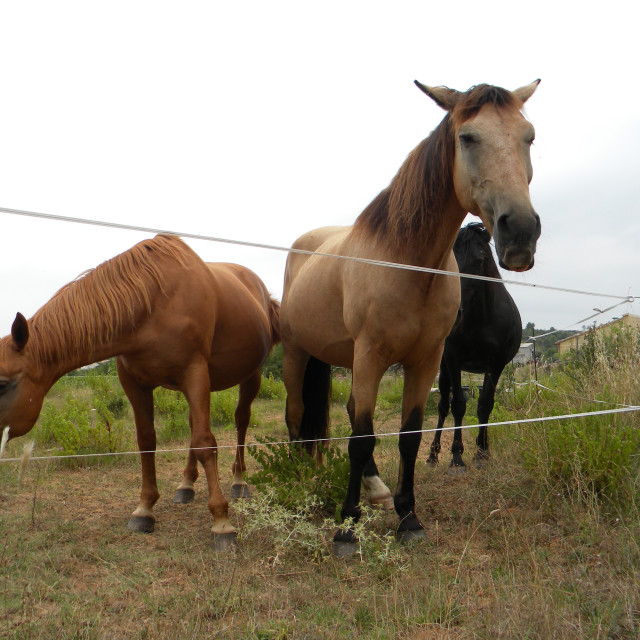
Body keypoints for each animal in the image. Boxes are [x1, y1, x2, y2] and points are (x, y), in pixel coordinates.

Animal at [0, 235, 280, 552]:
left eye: (2, 384)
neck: (153, 301)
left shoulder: (195, 373)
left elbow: (206, 443)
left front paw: (221, 522)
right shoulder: (135, 383)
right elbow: (148, 441)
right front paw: (145, 509)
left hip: (251, 375)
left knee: (241, 420)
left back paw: (238, 481)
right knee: (194, 427)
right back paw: (186, 484)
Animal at [424, 224, 520, 470]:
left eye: (480, 259)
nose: (454, 311)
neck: (482, 318)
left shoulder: (495, 365)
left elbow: (485, 404)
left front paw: (482, 451)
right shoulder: (453, 359)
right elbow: (458, 404)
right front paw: (457, 457)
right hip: (444, 369)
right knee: (443, 406)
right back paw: (433, 455)